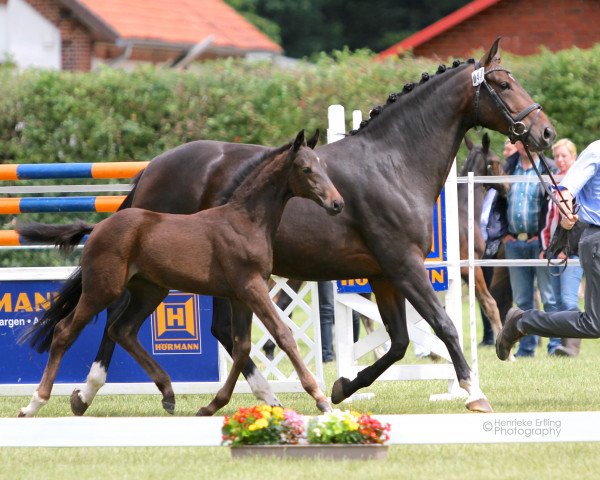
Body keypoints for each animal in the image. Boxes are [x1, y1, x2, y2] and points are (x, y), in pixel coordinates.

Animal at [19, 39, 552, 414]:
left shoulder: (383, 273)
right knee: (114, 319)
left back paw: (249, 395)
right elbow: (443, 325)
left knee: (204, 329)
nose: (544, 132)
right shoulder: (403, 265)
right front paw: (473, 392)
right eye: (504, 85)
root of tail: (152, 168)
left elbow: (399, 343)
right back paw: (89, 392)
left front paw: (342, 387)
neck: (393, 162)